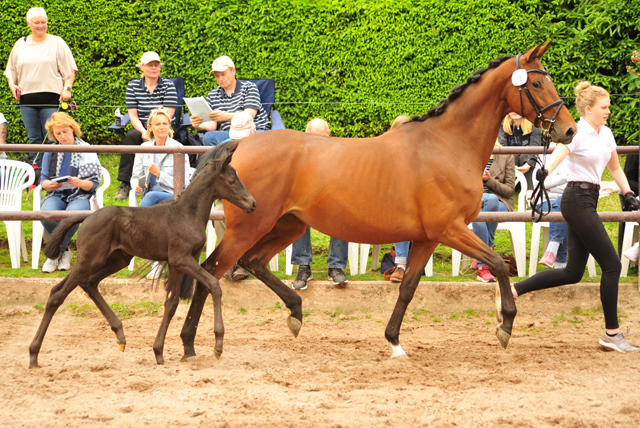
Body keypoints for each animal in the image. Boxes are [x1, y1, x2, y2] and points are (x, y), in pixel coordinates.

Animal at [28, 141, 255, 368]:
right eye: (232, 180)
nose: (252, 203)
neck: (186, 214)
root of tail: (87, 217)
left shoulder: (176, 264)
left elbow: (171, 304)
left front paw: (159, 351)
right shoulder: (181, 259)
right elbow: (214, 286)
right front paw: (218, 344)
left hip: (118, 259)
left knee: (89, 283)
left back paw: (120, 336)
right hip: (89, 260)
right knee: (57, 294)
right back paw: (33, 354)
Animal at [179, 41, 576, 360]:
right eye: (537, 83)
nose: (569, 130)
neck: (446, 145)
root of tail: (239, 146)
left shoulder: (428, 237)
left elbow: (409, 287)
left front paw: (394, 341)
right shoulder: (450, 229)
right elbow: (497, 263)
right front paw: (505, 325)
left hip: (288, 225)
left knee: (253, 261)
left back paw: (295, 313)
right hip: (250, 226)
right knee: (213, 269)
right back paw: (190, 342)